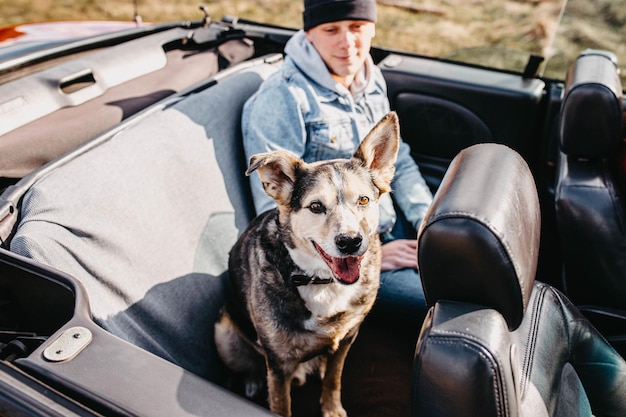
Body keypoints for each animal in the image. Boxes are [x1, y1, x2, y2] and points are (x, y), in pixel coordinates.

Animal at [214, 111, 400, 416]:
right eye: (315, 206)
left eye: (363, 200)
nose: (350, 242)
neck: (320, 280)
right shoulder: (278, 363)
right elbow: (281, 404)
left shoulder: (347, 338)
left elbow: (334, 379)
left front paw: (332, 408)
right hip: (223, 333)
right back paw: (253, 381)